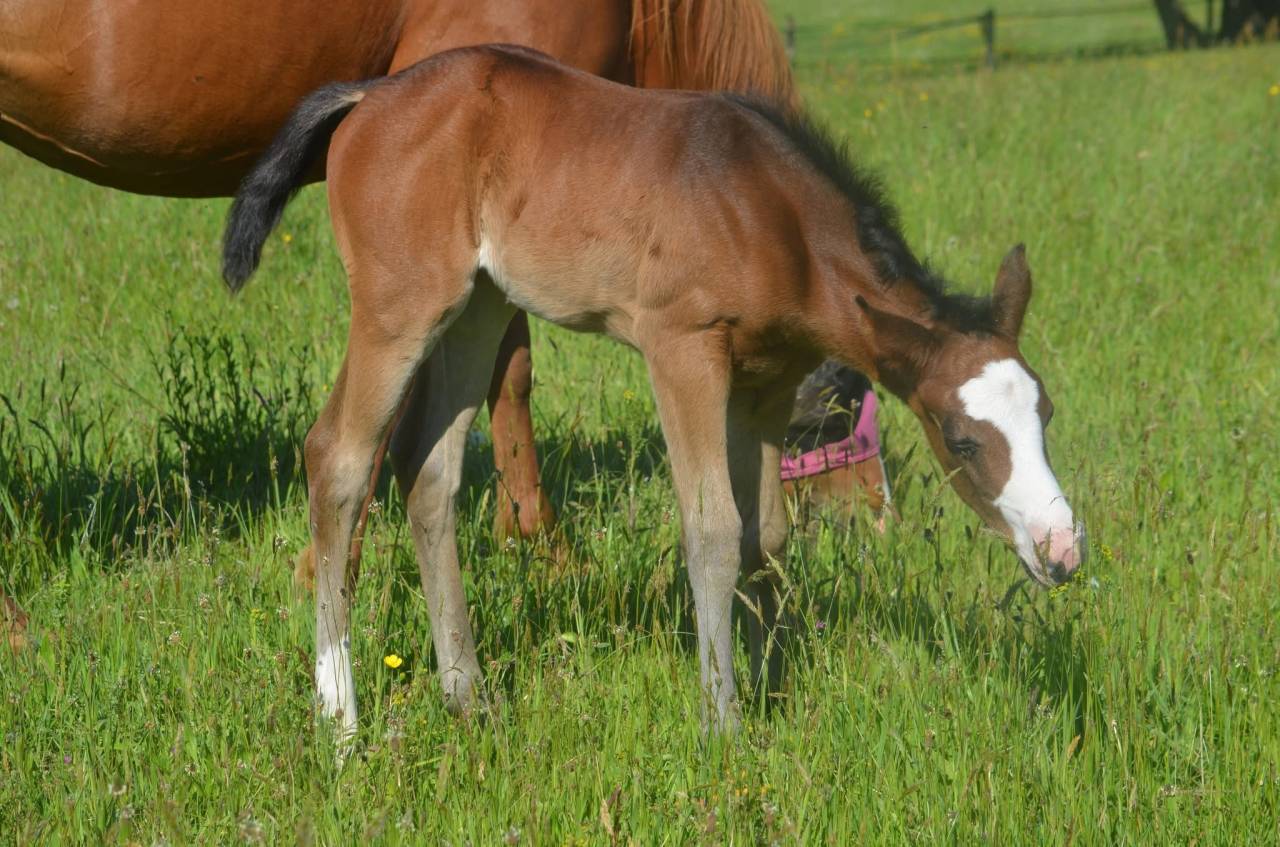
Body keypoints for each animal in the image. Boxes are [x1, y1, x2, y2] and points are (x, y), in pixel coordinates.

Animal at [222, 45, 1086, 738]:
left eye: (1045, 414)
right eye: (963, 437)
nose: (1063, 551)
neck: (768, 212)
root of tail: (367, 97)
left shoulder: (766, 382)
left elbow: (766, 533)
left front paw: (769, 686)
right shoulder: (683, 349)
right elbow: (712, 531)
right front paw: (723, 719)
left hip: (478, 306)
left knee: (427, 468)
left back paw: (466, 695)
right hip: (399, 305)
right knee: (338, 455)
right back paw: (341, 716)